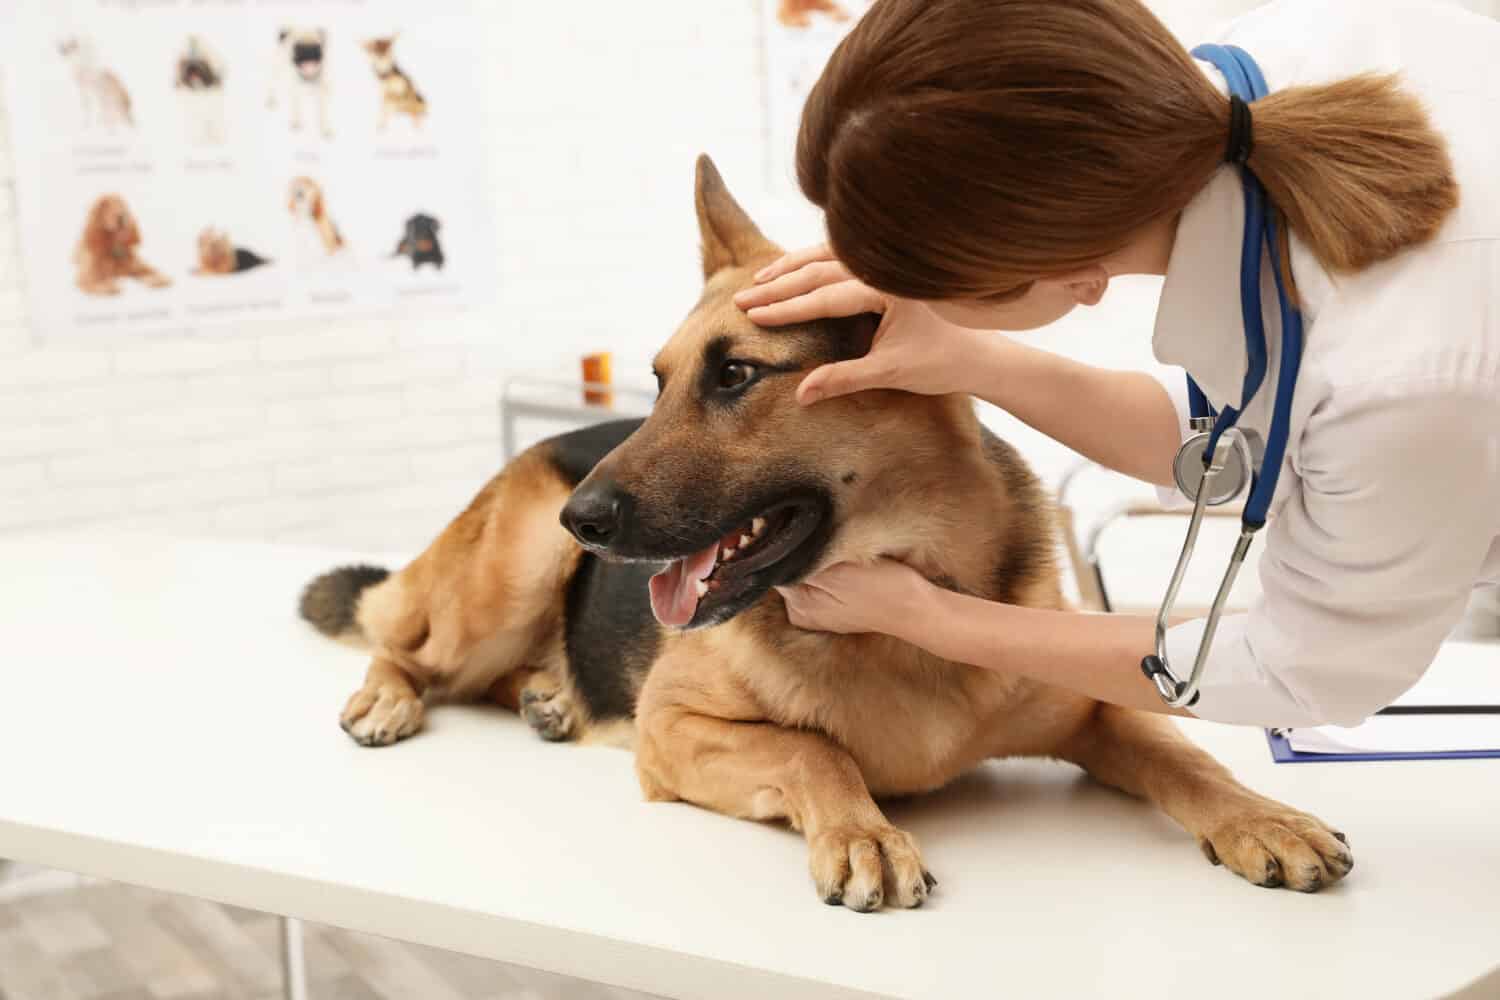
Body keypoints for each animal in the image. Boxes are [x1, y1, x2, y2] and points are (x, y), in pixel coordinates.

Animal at [298, 154, 1356, 905]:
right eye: (659, 381)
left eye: (735, 375)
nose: (585, 518)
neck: (898, 626)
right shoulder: (673, 728)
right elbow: (814, 748)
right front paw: (863, 832)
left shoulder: (1097, 707)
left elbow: (1185, 751)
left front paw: (1263, 816)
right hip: (511, 571)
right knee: (406, 642)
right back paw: (394, 697)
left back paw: (549, 696)